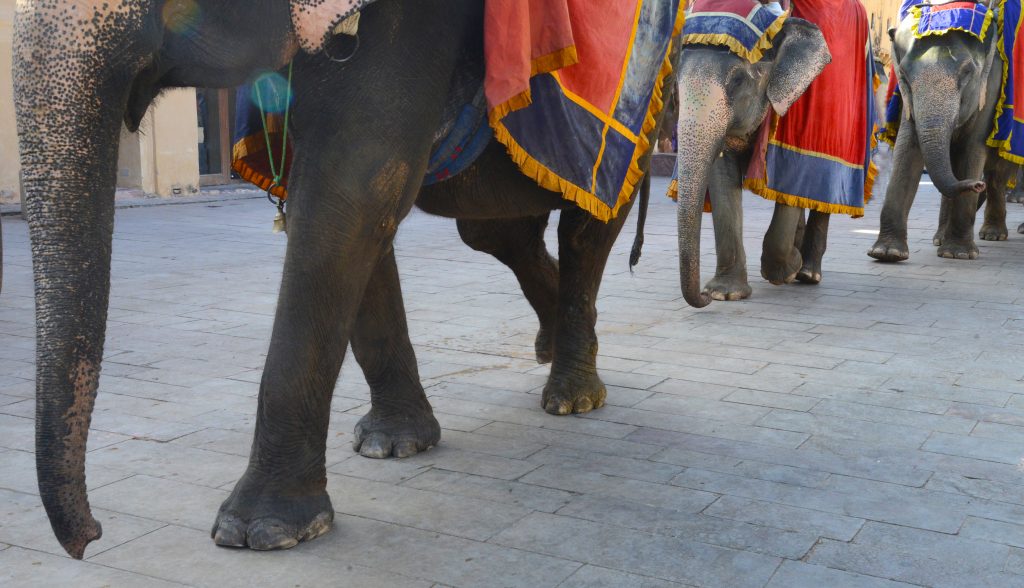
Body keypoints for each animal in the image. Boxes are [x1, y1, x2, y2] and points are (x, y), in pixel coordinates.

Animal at [12, 0, 675, 561]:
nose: (91, 538)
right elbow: (351, 209)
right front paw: (395, 445)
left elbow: (353, 190)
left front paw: (260, 532)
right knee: (498, 233)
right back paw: (553, 347)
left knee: (588, 224)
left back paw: (572, 396)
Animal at [671, 18, 831, 307]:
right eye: (676, 82)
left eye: (737, 81)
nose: (703, 296)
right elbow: (722, 178)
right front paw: (724, 293)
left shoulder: (793, 108)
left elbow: (789, 177)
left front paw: (786, 270)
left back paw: (807, 272)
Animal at [864, 0, 1015, 262]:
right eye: (903, 74)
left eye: (967, 72)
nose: (977, 185)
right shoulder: (908, 101)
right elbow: (907, 147)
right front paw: (886, 253)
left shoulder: (991, 85)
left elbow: (973, 148)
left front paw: (959, 255)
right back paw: (942, 239)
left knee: (997, 173)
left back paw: (992, 235)